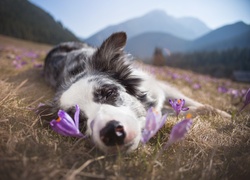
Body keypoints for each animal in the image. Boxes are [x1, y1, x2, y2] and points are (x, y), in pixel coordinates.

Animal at [39, 32, 229, 153]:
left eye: (109, 92)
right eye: (78, 121)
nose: (111, 132)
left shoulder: (156, 86)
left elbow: (190, 102)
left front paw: (224, 114)